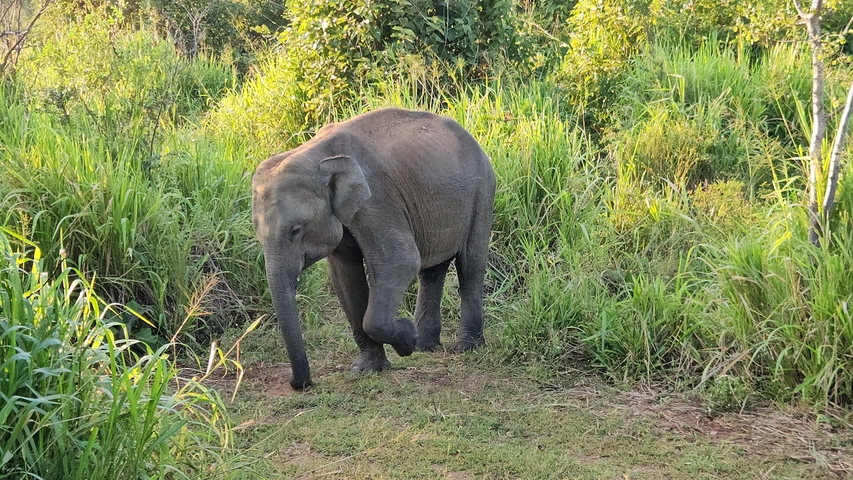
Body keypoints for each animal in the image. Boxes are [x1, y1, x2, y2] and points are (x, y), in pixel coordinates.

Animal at [251, 107, 496, 389]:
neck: (315, 155)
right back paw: (425, 347)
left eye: (295, 230)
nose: (302, 384)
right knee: (432, 270)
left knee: (470, 265)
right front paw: (368, 368)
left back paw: (465, 347)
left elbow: (399, 261)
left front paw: (406, 339)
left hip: (482, 189)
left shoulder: (376, 199)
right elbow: (346, 278)